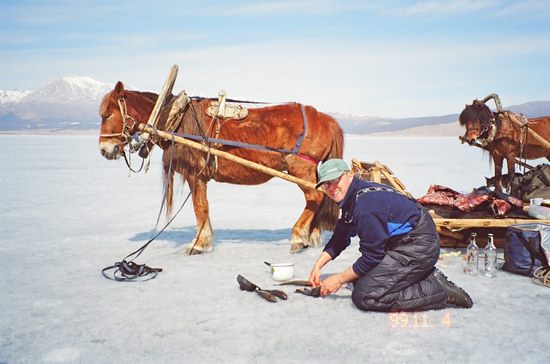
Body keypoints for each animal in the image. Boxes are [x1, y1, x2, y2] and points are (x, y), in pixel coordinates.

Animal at [97, 82, 342, 253]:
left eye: (106, 115)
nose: (104, 149)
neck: (175, 120)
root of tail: (325, 118)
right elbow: (202, 207)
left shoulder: (195, 175)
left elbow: (200, 207)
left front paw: (199, 243)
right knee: (318, 198)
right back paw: (313, 234)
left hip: (301, 168)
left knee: (315, 197)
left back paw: (299, 236)